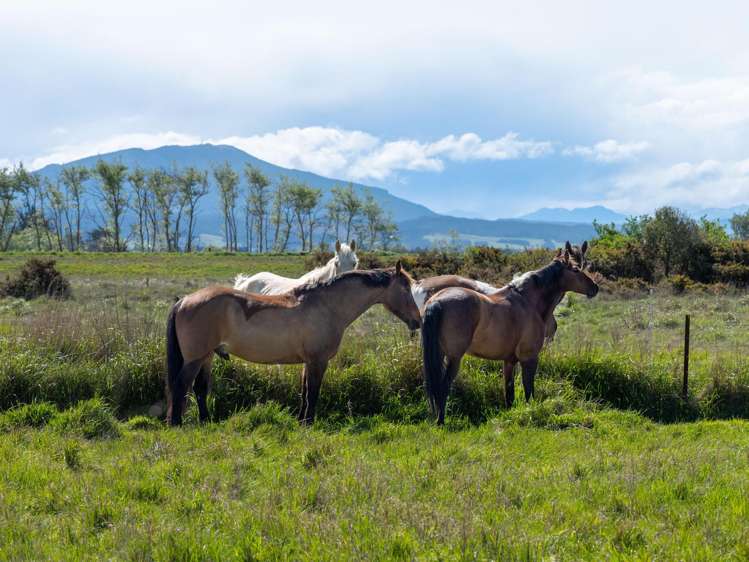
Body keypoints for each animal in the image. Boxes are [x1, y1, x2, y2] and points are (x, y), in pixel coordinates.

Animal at [166, 262, 418, 424]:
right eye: (406, 288)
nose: (418, 320)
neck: (327, 306)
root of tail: (184, 301)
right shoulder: (318, 361)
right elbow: (313, 391)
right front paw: (309, 422)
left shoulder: (308, 362)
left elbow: (304, 390)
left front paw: (300, 420)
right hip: (195, 358)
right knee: (181, 385)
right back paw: (176, 423)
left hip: (207, 356)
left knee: (199, 388)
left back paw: (205, 420)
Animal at [420, 241, 596, 420]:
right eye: (576, 269)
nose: (594, 288)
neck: (528, 301)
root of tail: (437, 301)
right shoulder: (529, 358)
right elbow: (529, 390)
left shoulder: (509, 361)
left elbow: (509, 394)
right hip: (454, 358)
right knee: (443, 388)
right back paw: (441, 421)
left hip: (441, 355)